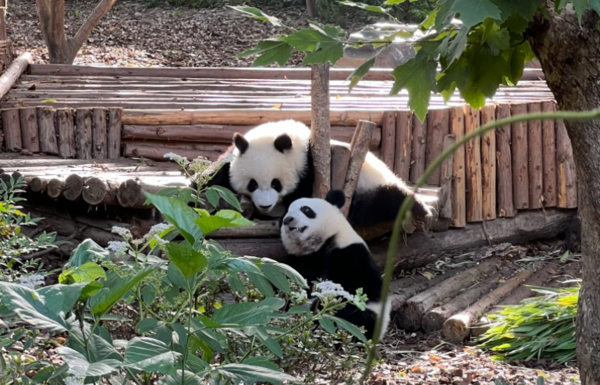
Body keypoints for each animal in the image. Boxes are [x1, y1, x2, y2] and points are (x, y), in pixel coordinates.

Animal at [204, 120, 434, 228]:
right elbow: (215, 179)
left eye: (276, 183)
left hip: (371, 185)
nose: (265, 205)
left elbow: (303, 197)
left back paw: (419, 208)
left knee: (385, 200)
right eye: (252, 184)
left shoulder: (309, 169)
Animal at [278, 188, 392, 340]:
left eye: (306, 209)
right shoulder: (301, 261)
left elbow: (355, 288)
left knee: (358, 318)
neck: (319, 246)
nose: (287, 220)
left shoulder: (351, 254)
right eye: (285, 213)